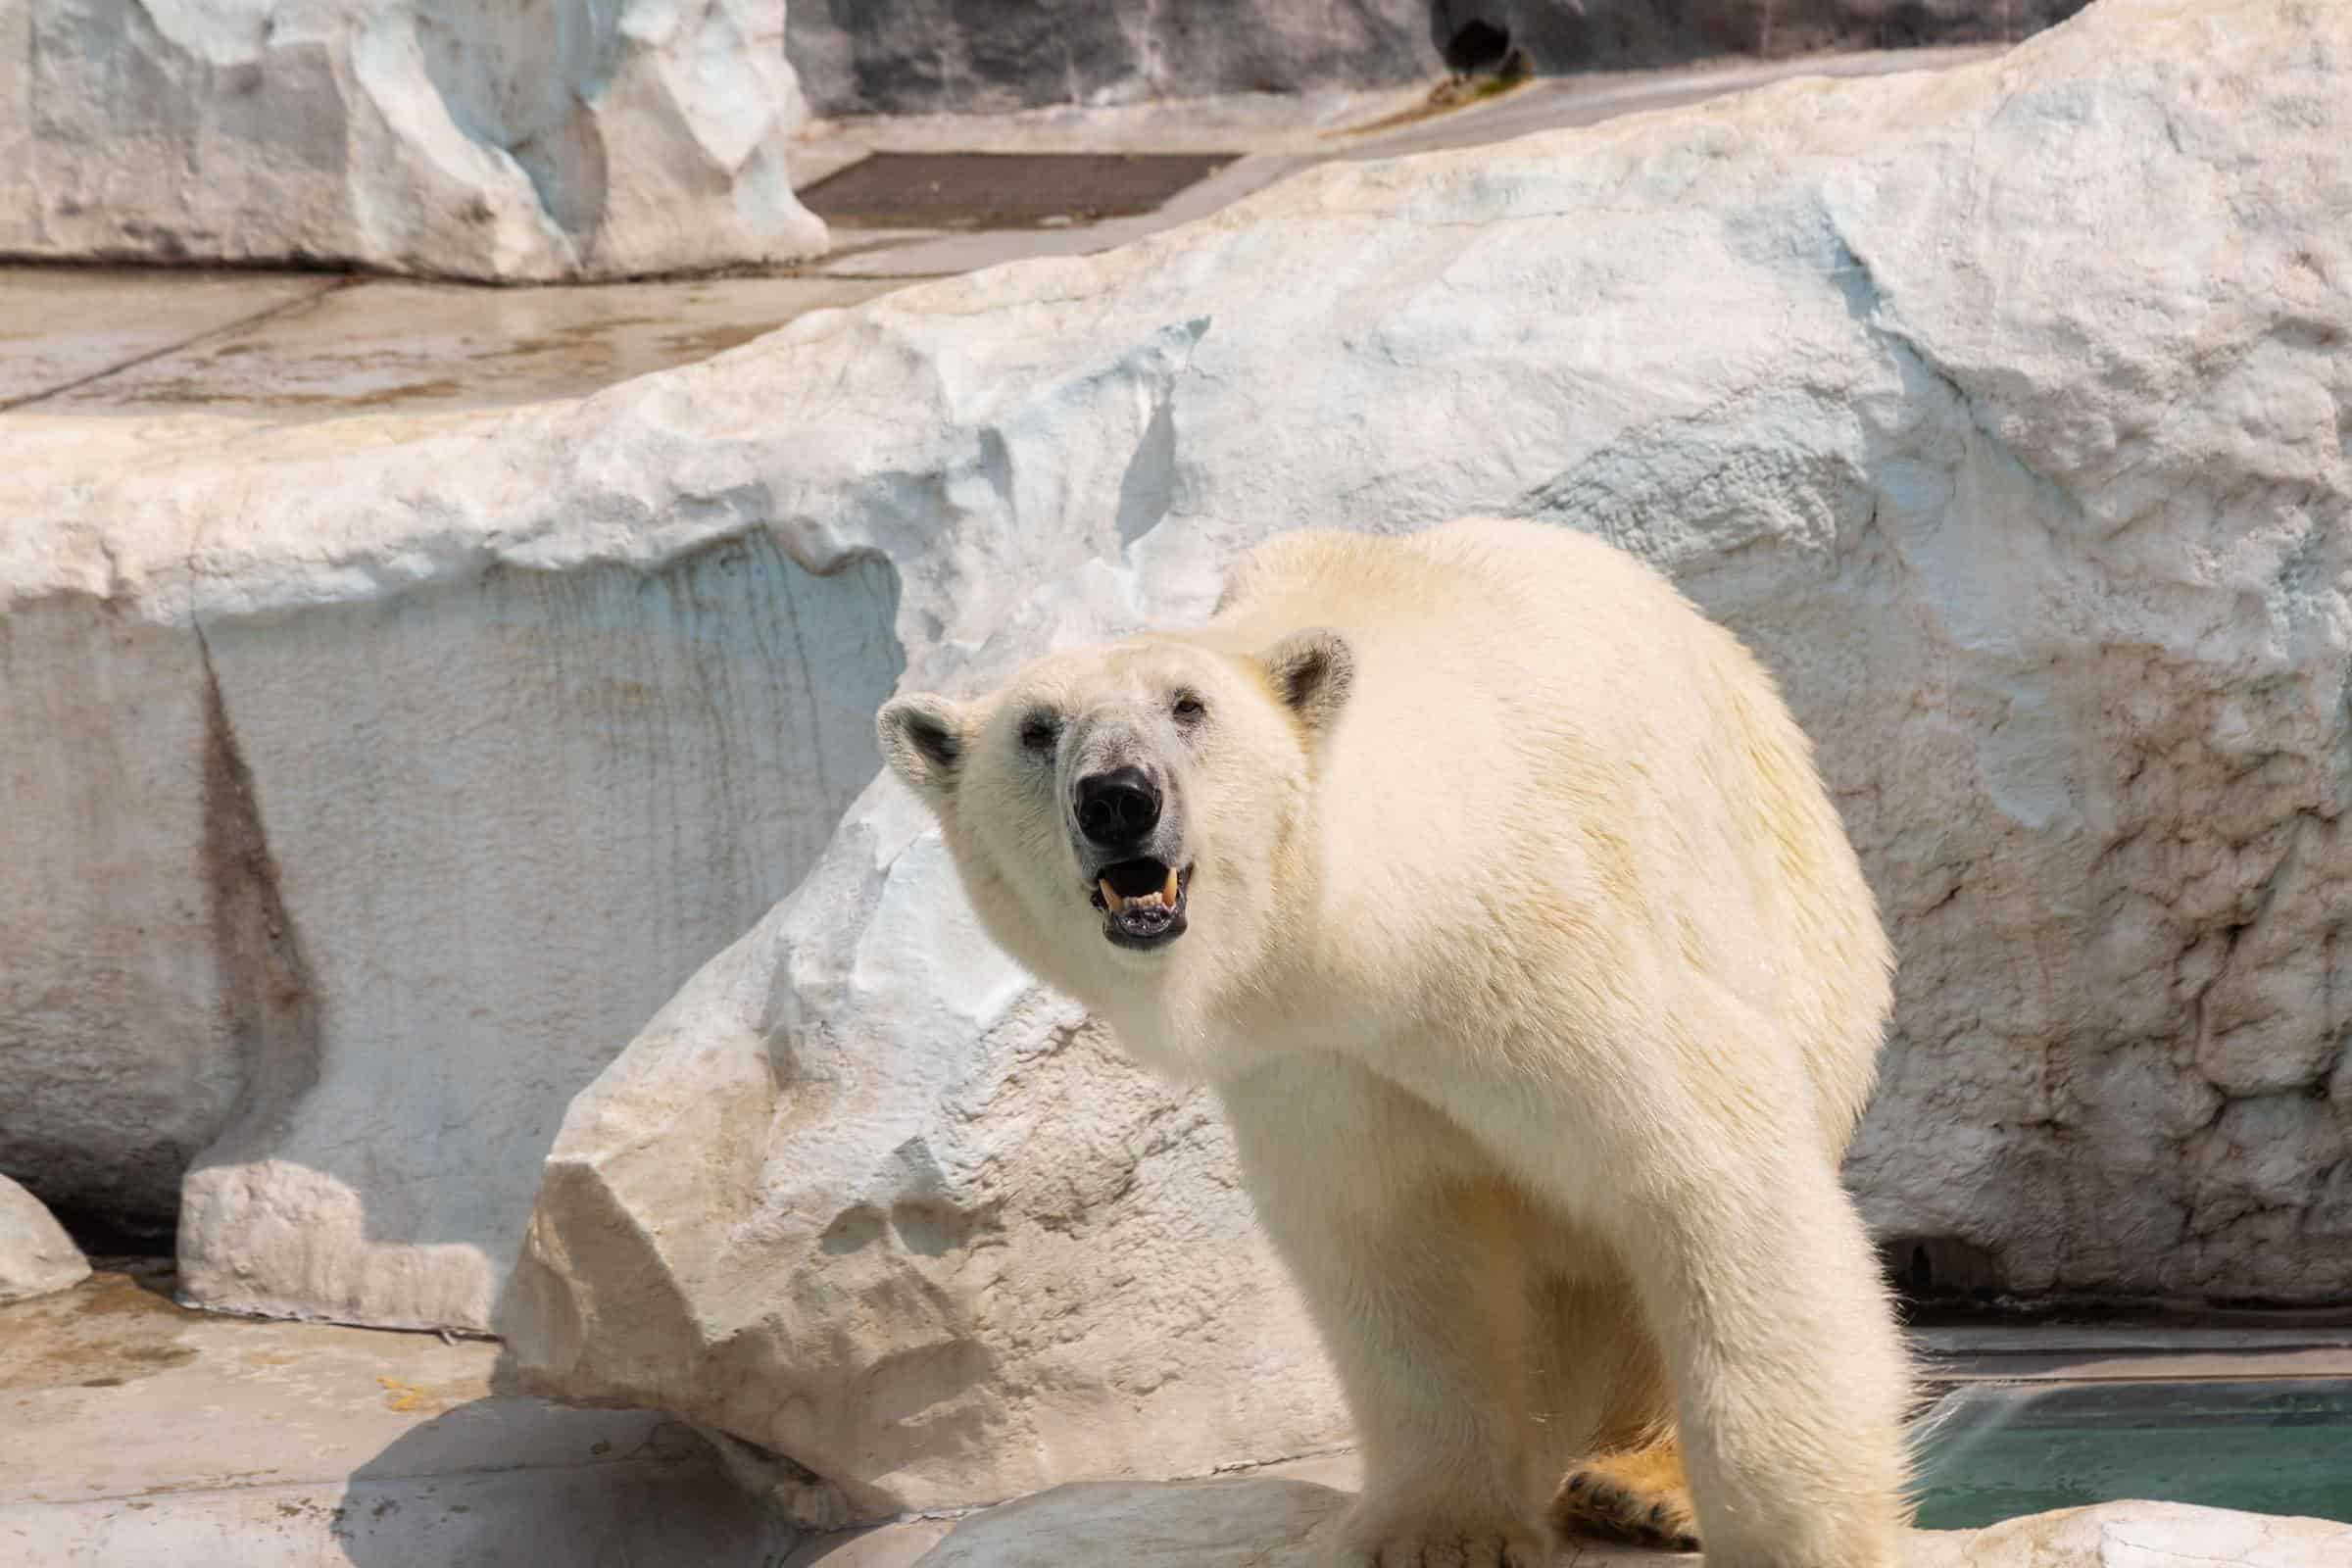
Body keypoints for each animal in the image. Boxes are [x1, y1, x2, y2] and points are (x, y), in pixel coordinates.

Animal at [876, 515, 1910, 1568]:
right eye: (1037, 729)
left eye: (1188, 706)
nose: (1118, 797)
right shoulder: (1316, 1061)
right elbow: (1393, 1232)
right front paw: (1439, 1531)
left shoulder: (1526, 946)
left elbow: (1708, 1150)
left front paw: (1804, 1534)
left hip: (1800, 922)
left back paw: (1638, 1485)